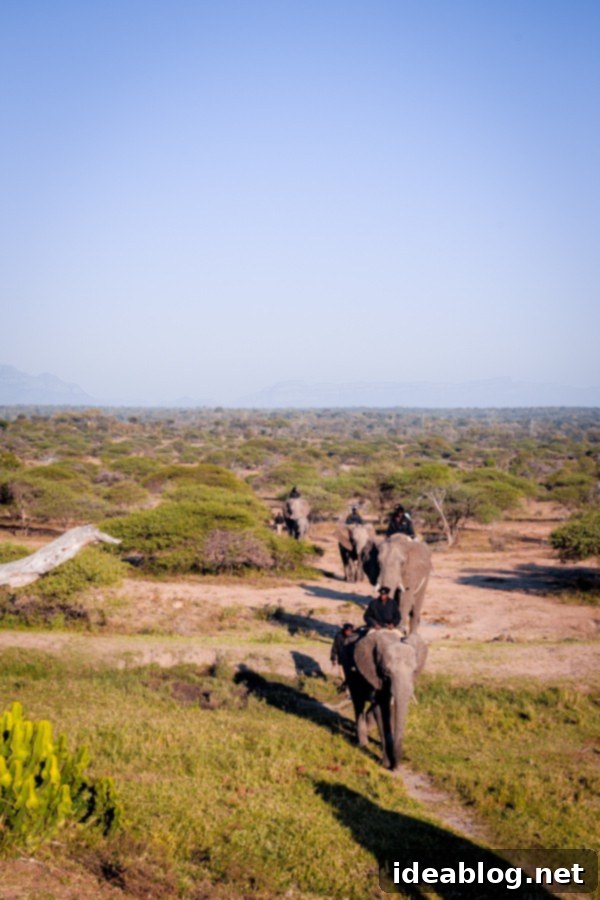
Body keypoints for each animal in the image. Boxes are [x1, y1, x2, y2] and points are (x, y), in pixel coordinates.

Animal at [342, 630, 428, 771]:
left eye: (414, 671)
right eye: (386, 672)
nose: (395, 767)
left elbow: (390, 709)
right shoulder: (376, 675)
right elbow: (382, 709)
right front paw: (386, 764)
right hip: (349, 669)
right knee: (358, 701)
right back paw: (363, 744)